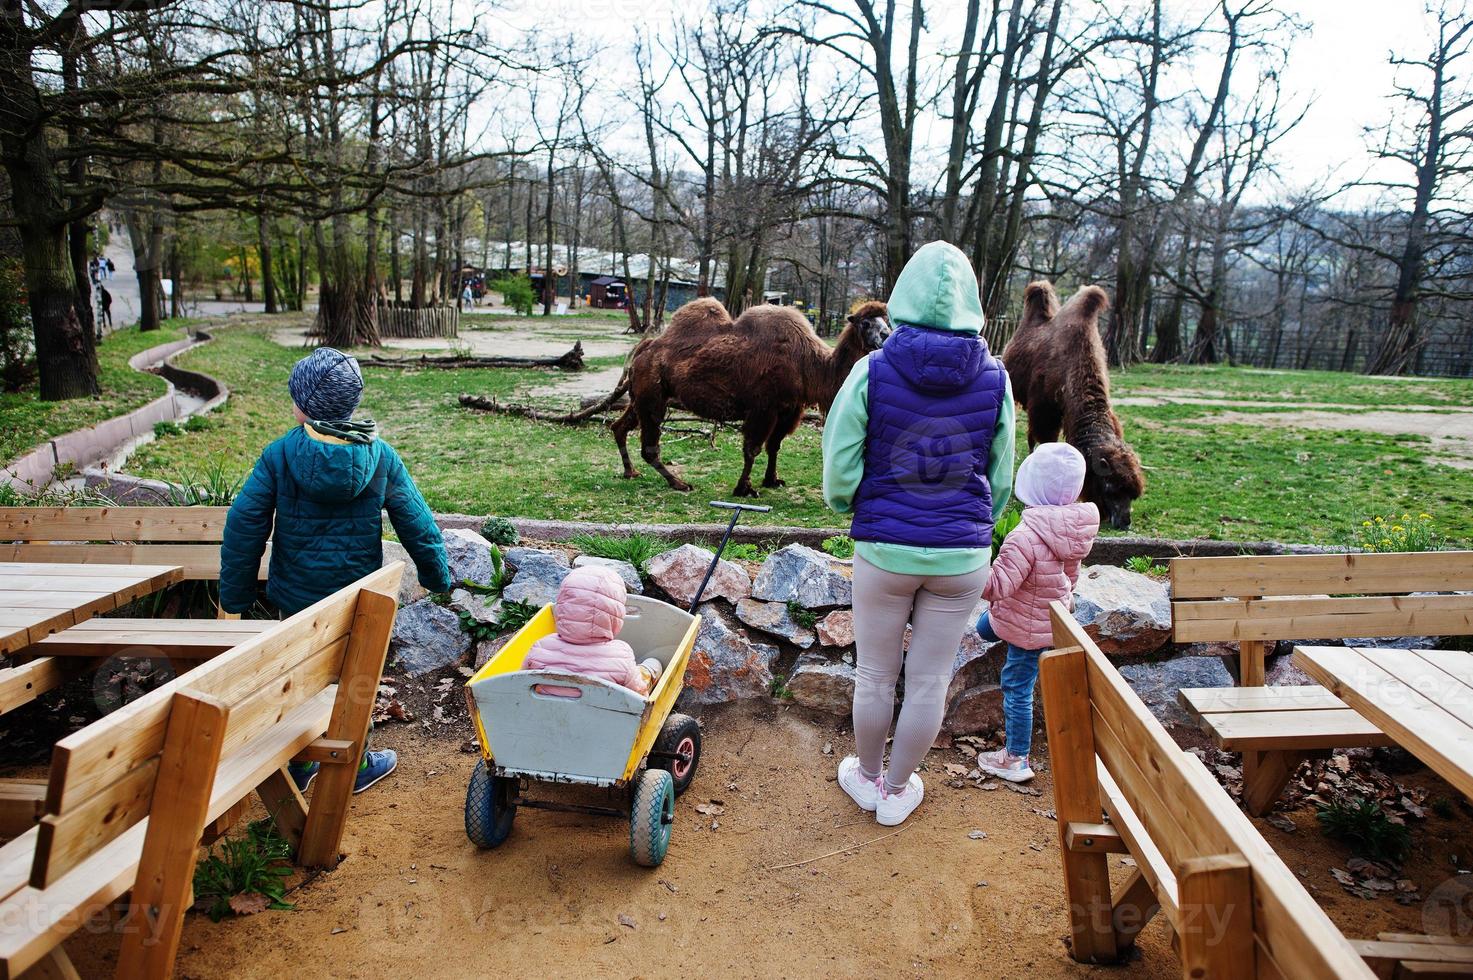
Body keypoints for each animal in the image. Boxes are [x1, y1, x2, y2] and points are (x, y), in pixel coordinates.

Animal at [615, 297, 889, 498]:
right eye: (865, 323)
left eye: (886, 320)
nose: (885, 335)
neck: (808, 364)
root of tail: (645, 349)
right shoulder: (763, 407)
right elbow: (753, 448)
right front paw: (744, 489)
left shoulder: (789, 408)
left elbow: (774, 445)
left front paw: (772, 480)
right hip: (652, 396)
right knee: (649, 447)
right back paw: (679, 483)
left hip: (641, 396)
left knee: (619, 426)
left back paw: (631, 471)